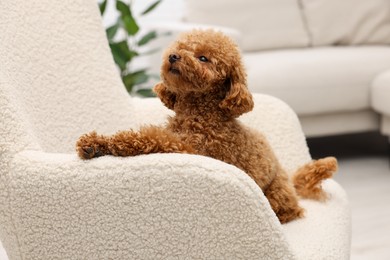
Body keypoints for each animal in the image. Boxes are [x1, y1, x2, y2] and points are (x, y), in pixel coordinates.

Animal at [77, 28, 338, 223]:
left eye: (203, 58)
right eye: (181, 47)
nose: (173, 56)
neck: (197, 113)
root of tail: (291, 182)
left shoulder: (189, 148)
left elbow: (147, 137)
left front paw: (102, 144)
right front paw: (94, 143)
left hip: (277, 194)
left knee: (289, 212)